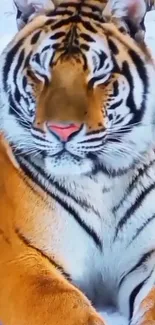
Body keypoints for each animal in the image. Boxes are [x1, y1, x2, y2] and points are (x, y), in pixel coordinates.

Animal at [1, 0, 155, 322]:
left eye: (98, 76)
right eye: (41, 72)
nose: (63, 130)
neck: (102, 180)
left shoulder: (148, 261)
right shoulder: (20, 257)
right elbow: (67, 308)